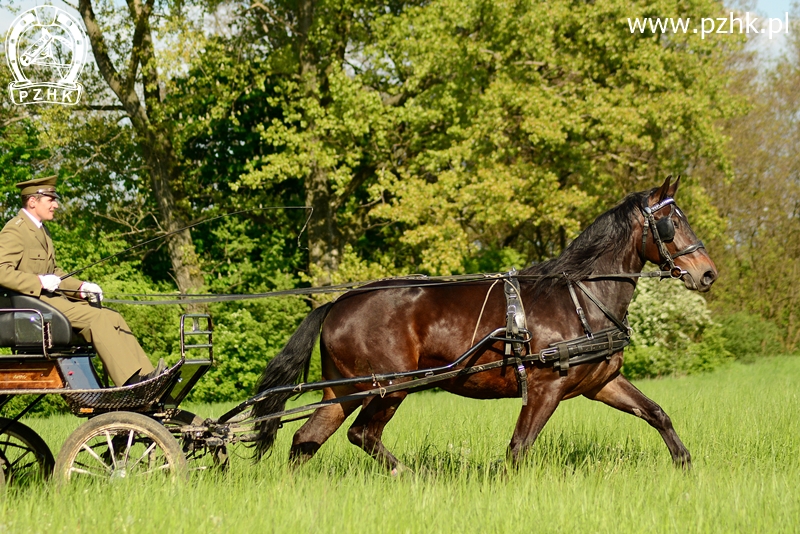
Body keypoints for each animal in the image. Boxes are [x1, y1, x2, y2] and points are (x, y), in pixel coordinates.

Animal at [252, 177, 720, 474]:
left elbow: (657, 413)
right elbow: (518, 449)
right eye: (672, 222)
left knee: (305, 440)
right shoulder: (546, 387)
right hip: (391, 386)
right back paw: (413, 476)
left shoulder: (601, 383)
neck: (579, 298)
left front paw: (685, 466)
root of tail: (338, 302)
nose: (707, 273)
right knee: (362, 434)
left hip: (345, 390)